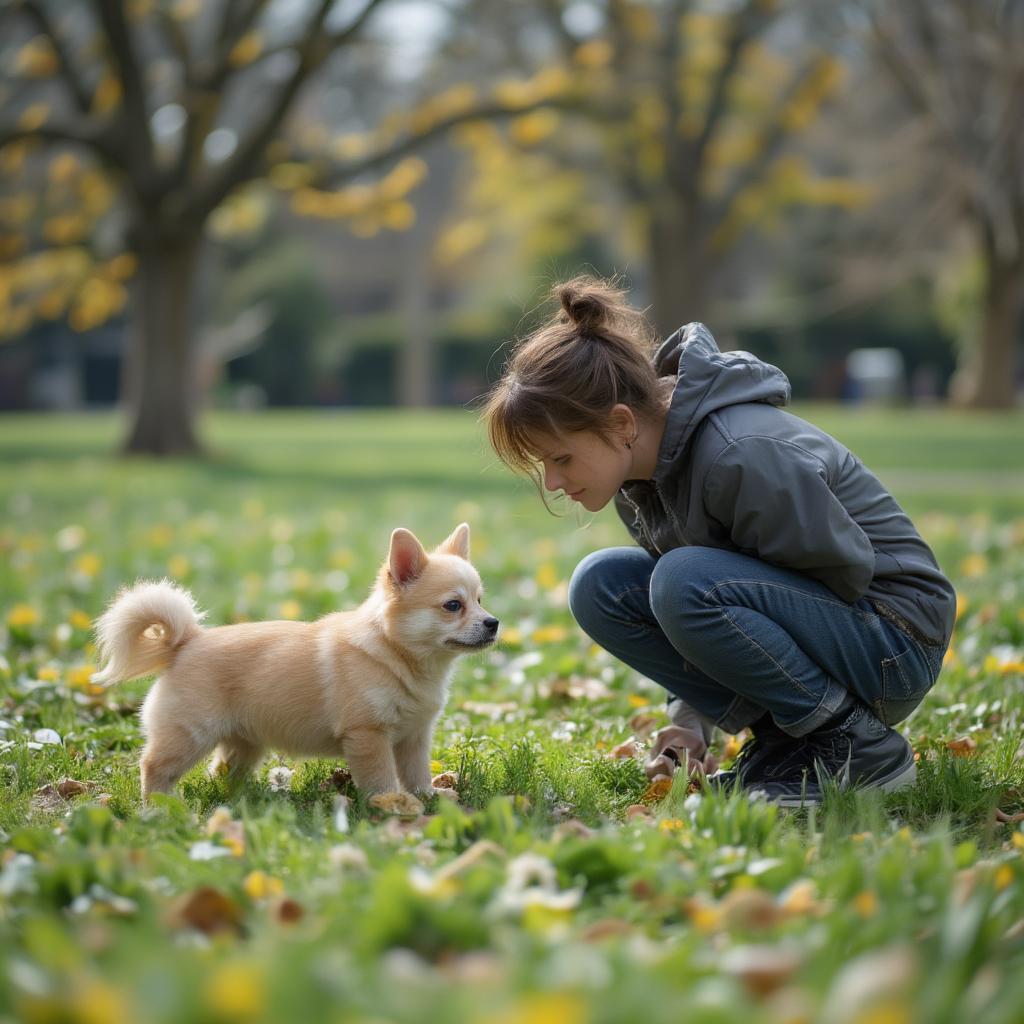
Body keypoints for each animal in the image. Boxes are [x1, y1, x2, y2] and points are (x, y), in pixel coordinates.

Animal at [92, 524, 499, 802]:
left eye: (480, 600)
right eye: (453, 606)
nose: (493, 623)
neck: (399, 657)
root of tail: (187, 640)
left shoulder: (414, 737)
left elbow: (415, 774)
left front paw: (426, 797)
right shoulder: (368, 736)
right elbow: (381, 778)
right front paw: (389, 805)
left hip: (244, 743)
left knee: (222, 770)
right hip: (189, 734)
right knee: (154, 767)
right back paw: (158, 809)